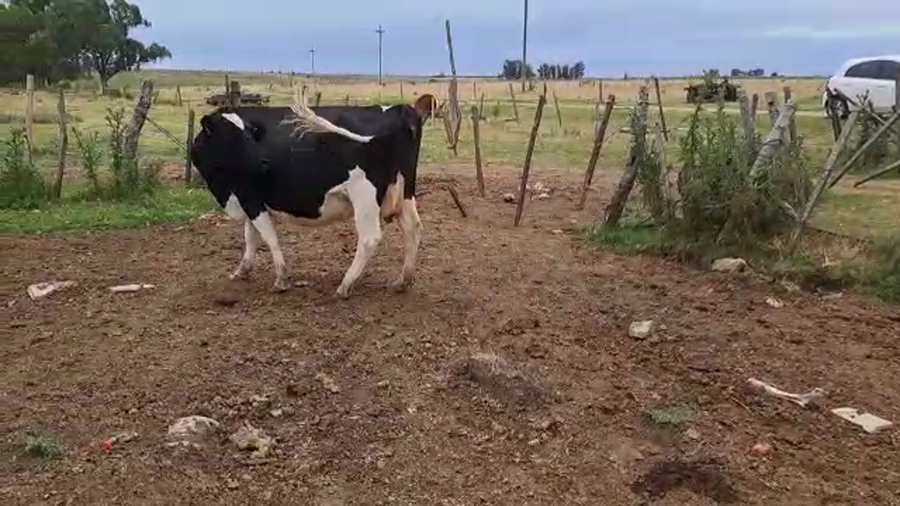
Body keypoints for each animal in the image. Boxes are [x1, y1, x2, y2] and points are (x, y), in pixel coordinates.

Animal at [188, 94, 435, 298]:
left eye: (248, 135)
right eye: (229, 136)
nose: (263, 162)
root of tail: (401, 109)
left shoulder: (249, 199)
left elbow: (268, 237)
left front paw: (281, 279)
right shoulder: (249, 198)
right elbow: (251, 236)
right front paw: (242, 270)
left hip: (364, 195)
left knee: (369, 238)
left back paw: (345, 285)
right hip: (405, 191)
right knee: (413, 227)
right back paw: (402, 281)